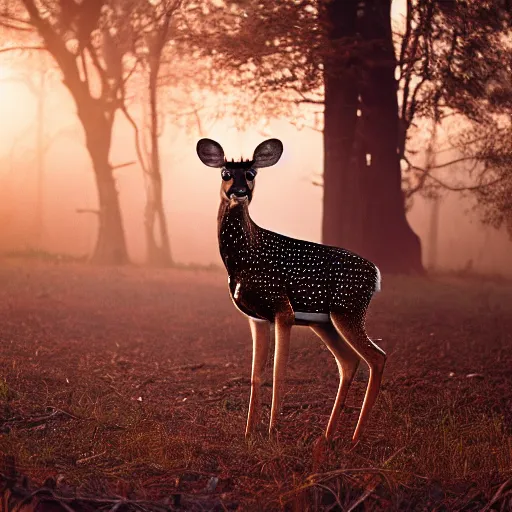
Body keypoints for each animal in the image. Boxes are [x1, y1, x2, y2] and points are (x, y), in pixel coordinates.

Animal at [195, 138, 384, 442]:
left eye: (252, 174)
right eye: (225, 173)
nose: (240, 192)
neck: (244, 257)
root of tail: (376, 275)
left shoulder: (282, 308)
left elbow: (278, 372)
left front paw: (272, 432)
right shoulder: (257, 316)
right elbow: (256, 374)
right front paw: (249, 433)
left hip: (349, 309)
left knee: (377, 358)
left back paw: (354, 439)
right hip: (325, 322)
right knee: (348, 361)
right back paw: (327, 436)